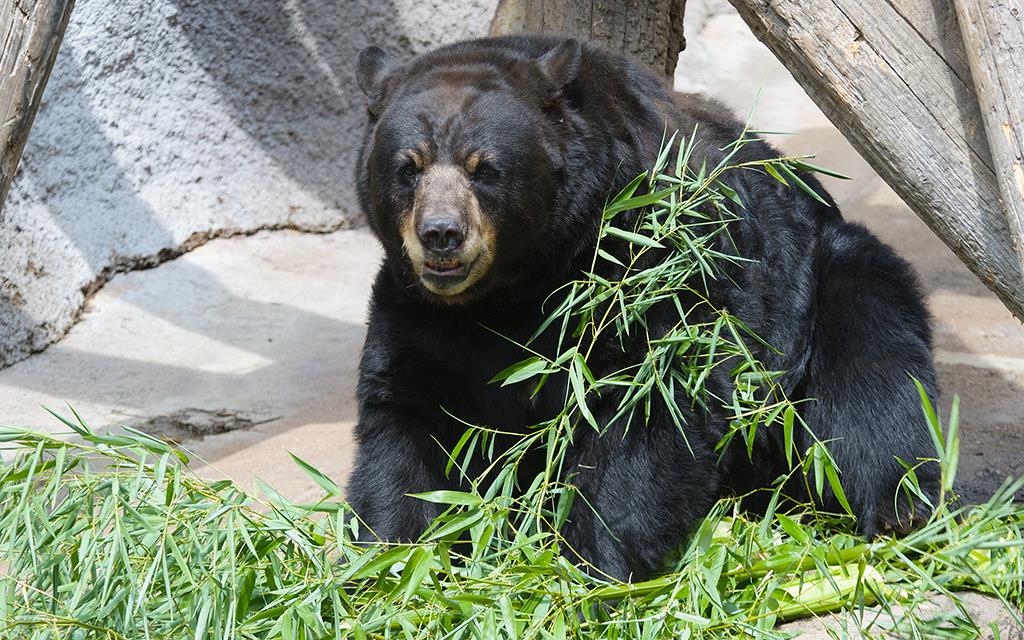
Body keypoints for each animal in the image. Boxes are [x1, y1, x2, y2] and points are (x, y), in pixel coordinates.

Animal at [344, 37, 937, 581]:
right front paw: (388, 565)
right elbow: (407, 426)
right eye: (408, 167)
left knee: (872, 382)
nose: (441, 234)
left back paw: (898, 511)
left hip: (819, 290)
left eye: (483, 168)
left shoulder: (644, 270)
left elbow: (648, 405)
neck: (509, 292)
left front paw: (586, 568)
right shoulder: (417, 313)